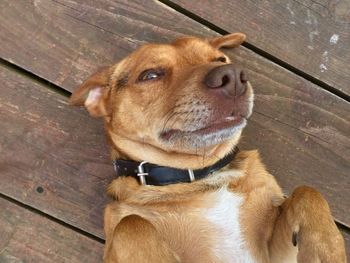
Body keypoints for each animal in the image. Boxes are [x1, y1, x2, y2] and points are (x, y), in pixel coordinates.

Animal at [69, 33, 346, 263]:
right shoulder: (122, 229)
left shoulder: (276, 255)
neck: (201, 176)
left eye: (219, 59)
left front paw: (328, 249)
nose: (233, 77)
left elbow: (307, 192)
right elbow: (131, 223)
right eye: (150, 75)